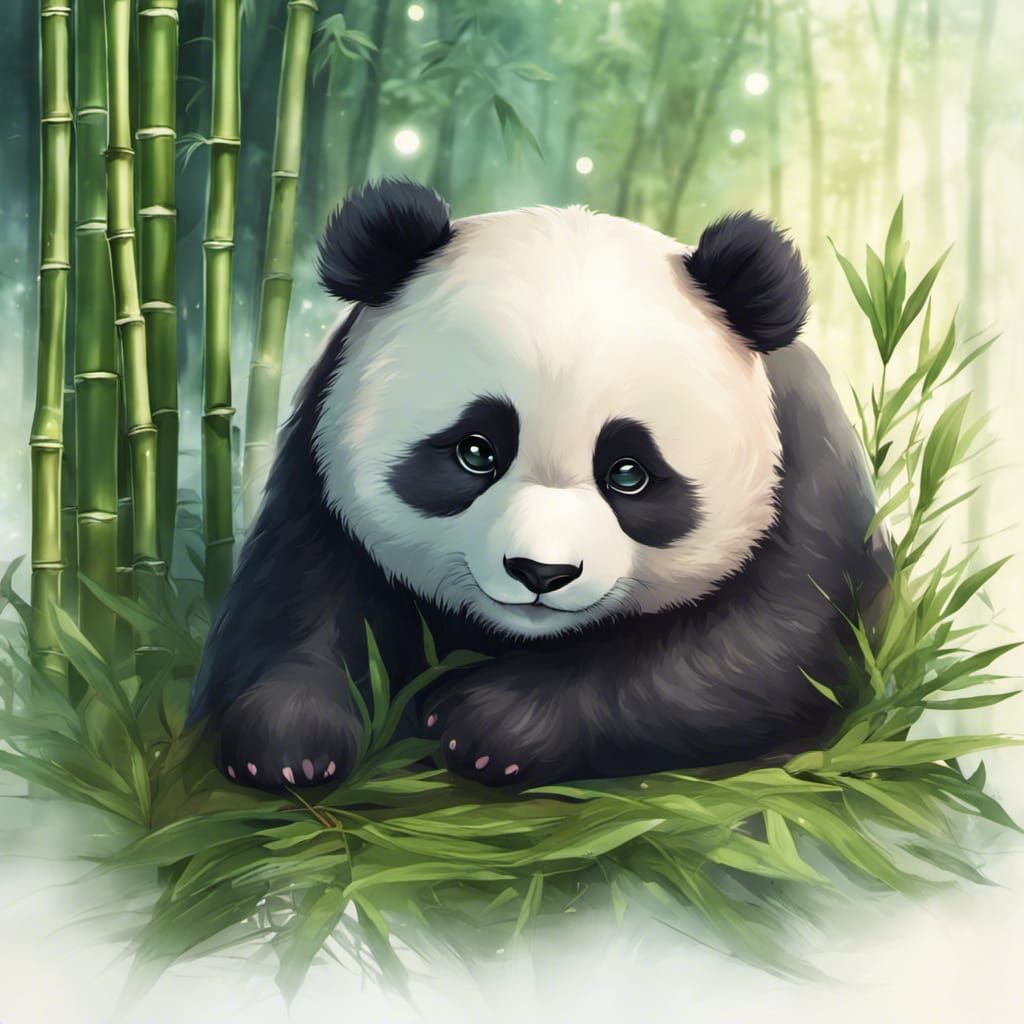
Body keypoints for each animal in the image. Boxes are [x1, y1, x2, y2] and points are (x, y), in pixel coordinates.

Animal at [186, 178, 889, 790]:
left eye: (628, 473)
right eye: (475, 452)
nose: (541, 573)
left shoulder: (804, 482)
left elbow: (760, 652)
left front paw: (490, 722)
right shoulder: (318, 462)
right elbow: (300, 599)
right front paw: (288, 738)